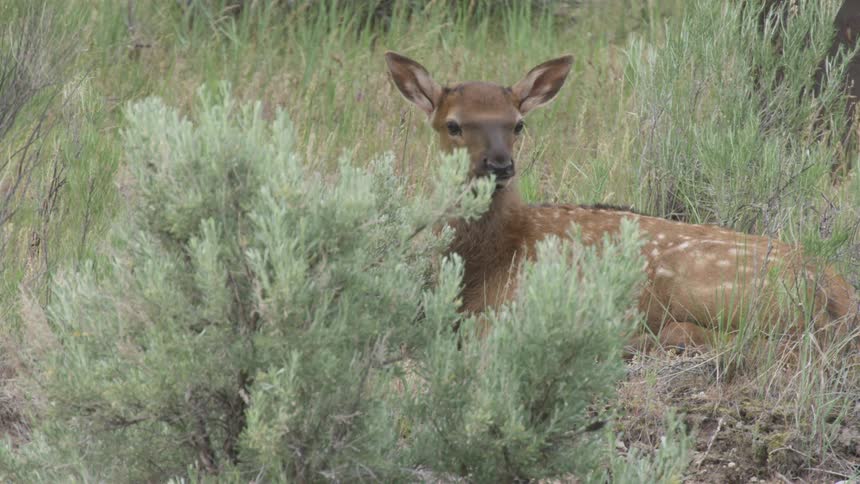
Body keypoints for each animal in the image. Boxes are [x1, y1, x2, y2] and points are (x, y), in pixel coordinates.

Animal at [384, 51, 858, 354]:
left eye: (517, 124)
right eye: (453, 125)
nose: (500, 165)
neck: (491, 258)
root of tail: (834, 286)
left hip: (717, 290)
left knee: (794, 340)